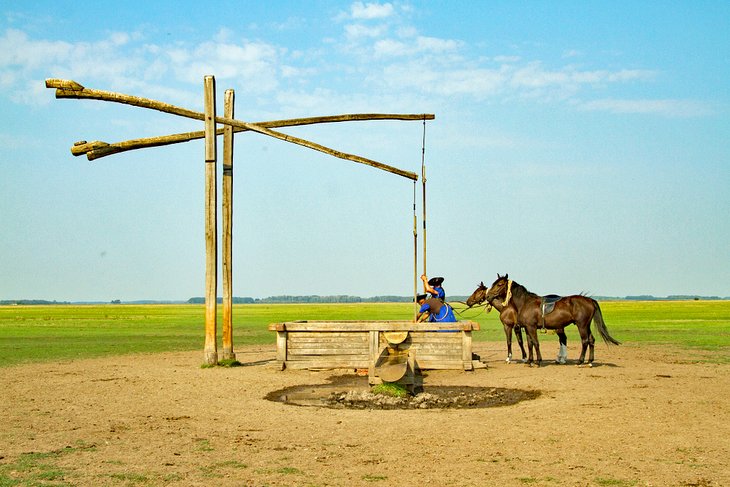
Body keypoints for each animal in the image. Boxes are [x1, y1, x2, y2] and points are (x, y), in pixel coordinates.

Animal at [484, 274, 616, 366]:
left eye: (500, 284)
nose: (488, 296)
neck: (525, 302)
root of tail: (589, 300)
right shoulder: (527, 328)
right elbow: (530, 344)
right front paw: (530, 361)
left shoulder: (531, 327)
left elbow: (536, 343)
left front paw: (538, 361)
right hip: (586, 325)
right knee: (591, 340)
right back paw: (589, 361)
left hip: (582, 325)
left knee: (585, 341)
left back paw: (580, 361)